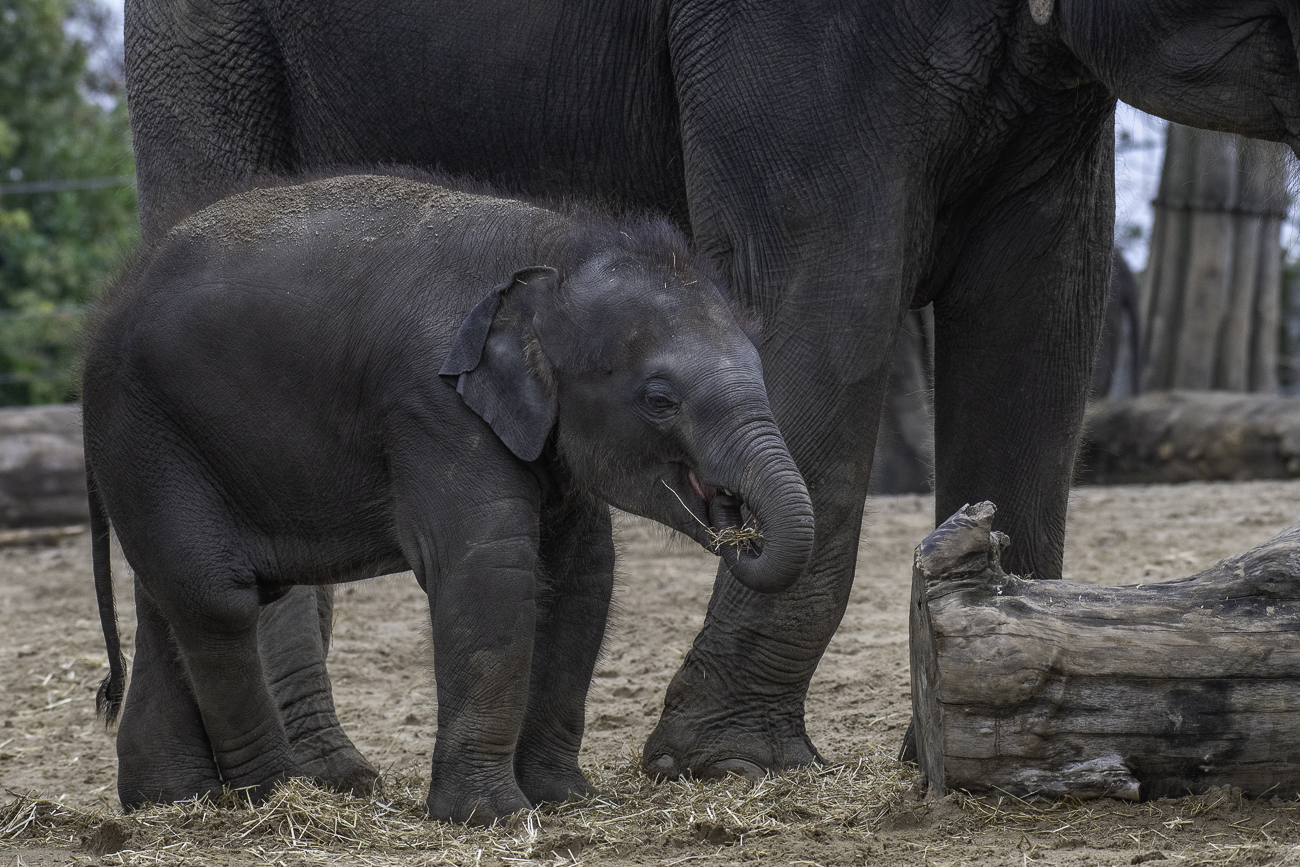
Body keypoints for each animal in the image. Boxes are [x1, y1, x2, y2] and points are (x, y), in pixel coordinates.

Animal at [86, 172, 811, 826]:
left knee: (171, 599)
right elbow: (489, 572)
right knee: (217, 597)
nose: (739, 528)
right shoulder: (434, 406)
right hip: (146, 429)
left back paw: (170, 801)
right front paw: (493, 817)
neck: (556, 253)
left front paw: (563, 800)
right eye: (660, 399)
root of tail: (108, 304)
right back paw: (274, 797)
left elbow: (582, 576)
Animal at [122, 0, 1300, 785]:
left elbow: (1043, 319)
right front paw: (728, 763)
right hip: (211, 42)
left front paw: (1003, 742)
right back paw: (299, 779)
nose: (728, 521)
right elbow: (828, 288)